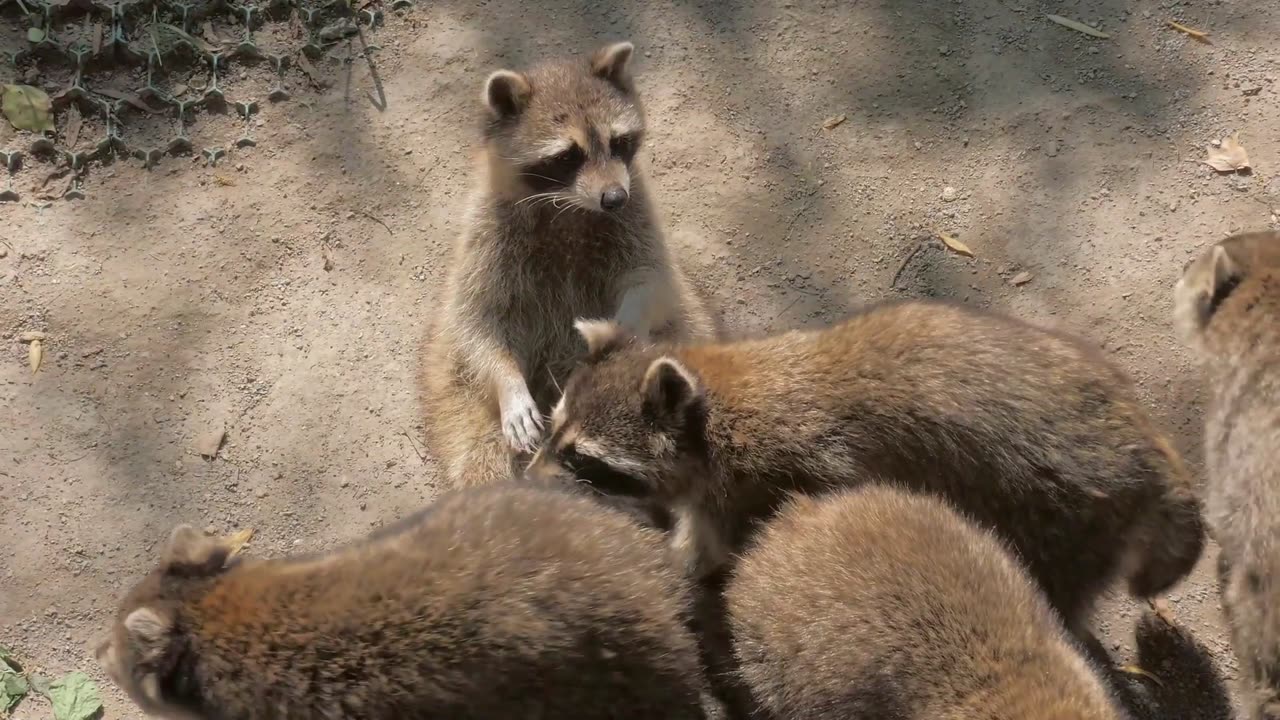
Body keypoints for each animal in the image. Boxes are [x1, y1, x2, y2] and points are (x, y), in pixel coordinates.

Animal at [424, 40, 716, 486]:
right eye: (567, 156)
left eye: (618, 142)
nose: (614, 198)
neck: (569, 208)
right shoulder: (487, 237)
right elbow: (477, 322)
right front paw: (507, 382)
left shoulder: (637, 215)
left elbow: (652, 279)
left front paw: (624, 325)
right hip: (457, 400)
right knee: (481, 455)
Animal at [524, 298, 1203, 627]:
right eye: (553, 430)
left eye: (585, 460)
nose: (525, 480)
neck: (715, 411)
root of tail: (1147, 446)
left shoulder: (774, 482)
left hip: (1064, 521)